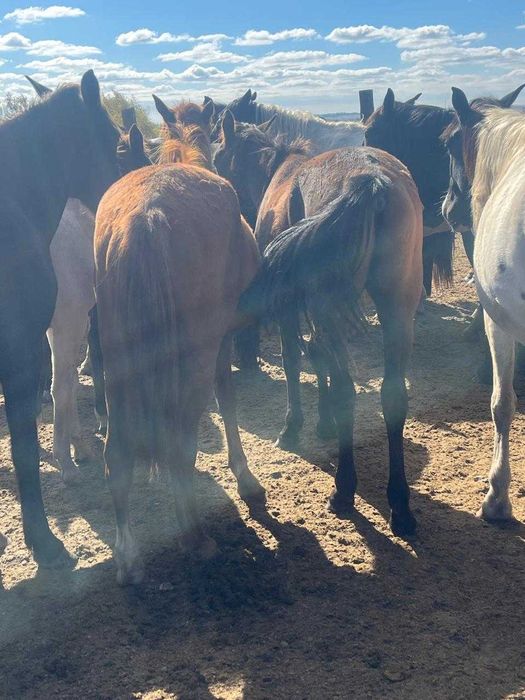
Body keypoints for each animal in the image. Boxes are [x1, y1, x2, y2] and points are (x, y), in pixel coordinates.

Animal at [94, 108, 265, 584]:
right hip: (195, 354)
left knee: (117, 454)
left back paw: (129, 556)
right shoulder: (221, 339)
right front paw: (245, 478)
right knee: (179, 445)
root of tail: (145, 218)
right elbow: (227, 397)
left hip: (118, 359)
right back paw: (194, 537)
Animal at [215, 112, 423, 537]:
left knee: (347, 389)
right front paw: (323, 421)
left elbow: (294, 358)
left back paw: (344, 489)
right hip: (397, 307)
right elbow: (317, 353)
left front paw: (293, 426)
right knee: (393, 395)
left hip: (332, 307)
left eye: (218, 156)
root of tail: (371, 180)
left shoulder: (288, 306)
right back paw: (399, 503)